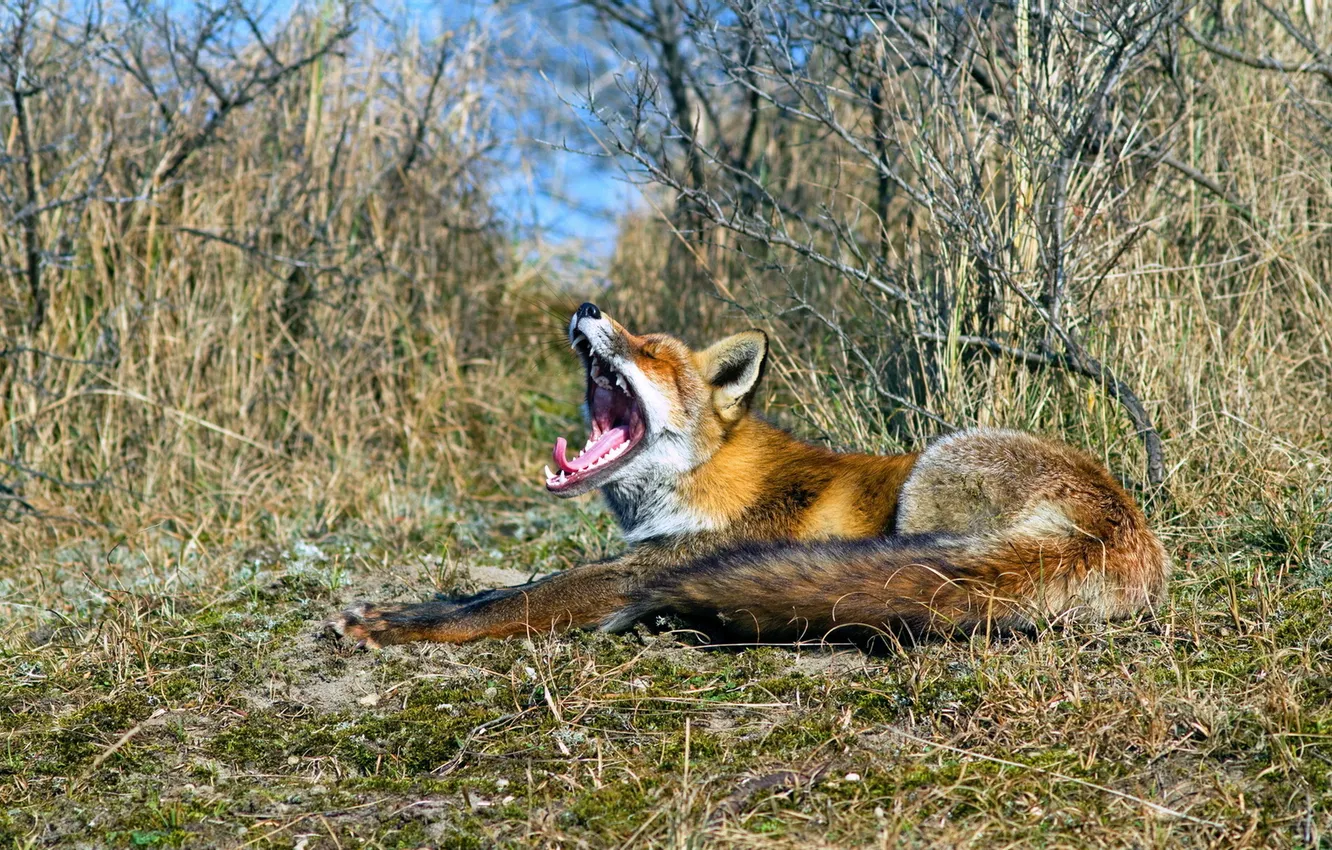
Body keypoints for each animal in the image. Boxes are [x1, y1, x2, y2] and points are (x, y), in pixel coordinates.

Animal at [326, 302, 1168, 648]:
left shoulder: (646, 567)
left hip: (934, 470)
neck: (698, 483)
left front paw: (398, 628)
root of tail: (1114, 526)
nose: (587, 306)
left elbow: (510, 600)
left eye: (653, 352)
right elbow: (488, 590)